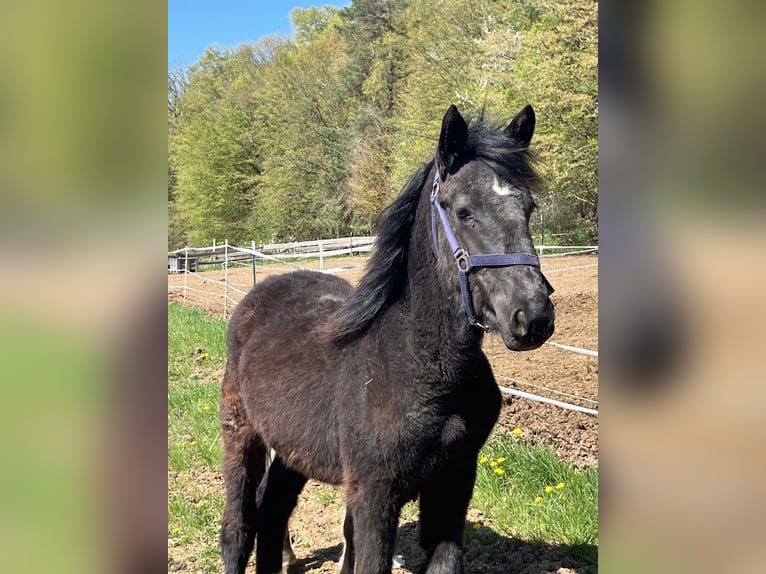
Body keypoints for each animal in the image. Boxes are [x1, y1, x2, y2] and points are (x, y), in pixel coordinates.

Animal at [219, 103, 555, 574]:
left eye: (528, 207)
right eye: (462, 211)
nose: (533, 316)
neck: (418, 366)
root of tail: (260, 291)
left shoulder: (455, 483)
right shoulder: (374, 493)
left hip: (293, 446)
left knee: (273, 509)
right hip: (240, 433)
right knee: (238, 527)